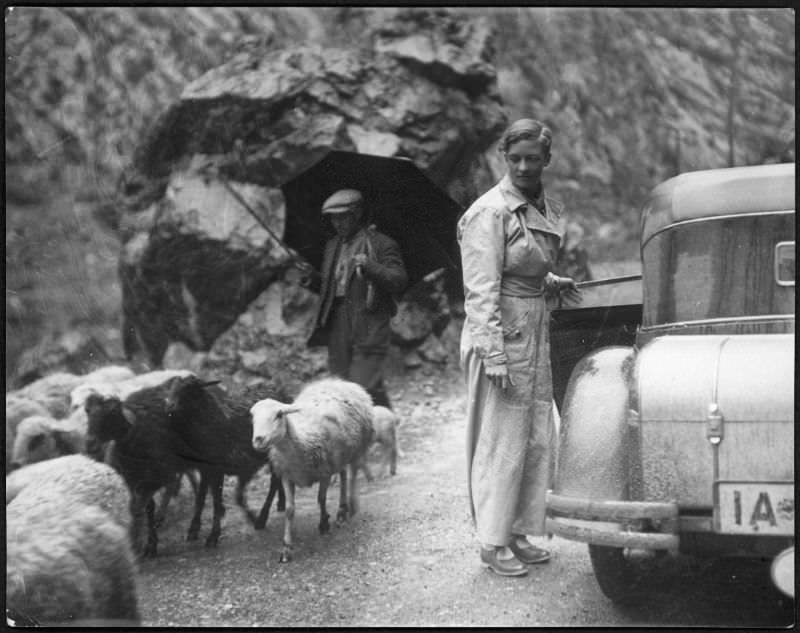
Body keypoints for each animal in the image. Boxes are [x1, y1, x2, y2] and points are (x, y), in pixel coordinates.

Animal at [250, 378, 376, 560]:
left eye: (279, 415)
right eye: (252, 417)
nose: (258, 440)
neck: (302, 441)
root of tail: (340, 382)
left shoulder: (324, 473)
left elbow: (321, 499)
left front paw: (324, 523)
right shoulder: (286, 475)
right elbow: (289, 510)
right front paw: (286, 548)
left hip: (356, 448)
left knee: (351, 475)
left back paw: (349, 508)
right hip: (339, 455)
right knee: (343, 474)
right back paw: (342, 509)